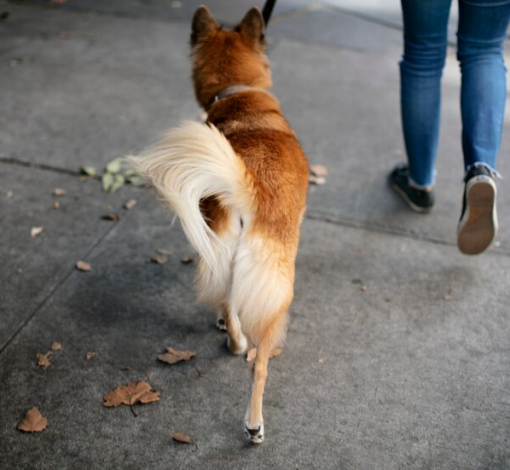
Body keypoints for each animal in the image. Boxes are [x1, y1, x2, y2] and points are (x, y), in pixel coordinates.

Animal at [129, 5, 308, 442]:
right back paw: (254, 423)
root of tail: (249, 186)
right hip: (278, 285)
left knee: (227, 296)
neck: (238, 94)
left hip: (220, 246)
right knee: (259, 363)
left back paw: (231, 337)